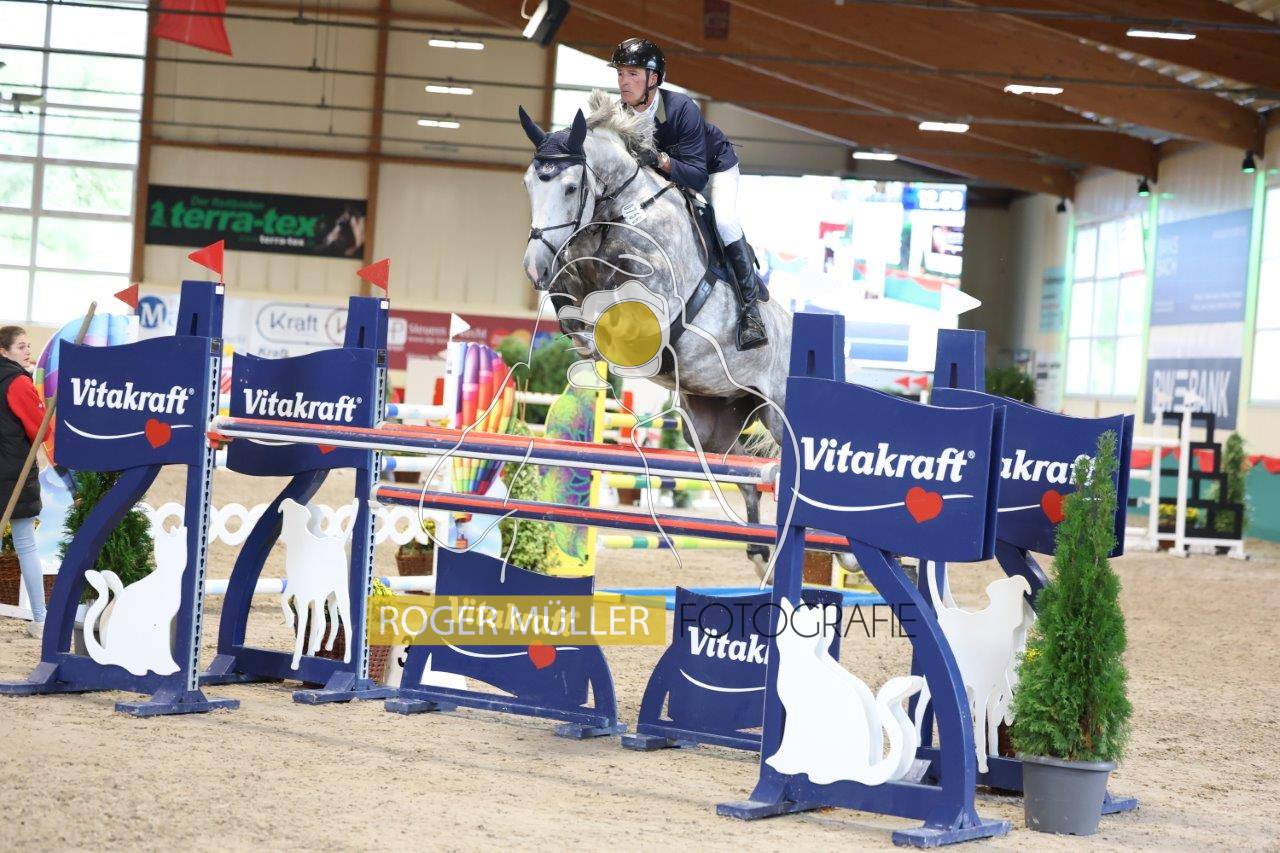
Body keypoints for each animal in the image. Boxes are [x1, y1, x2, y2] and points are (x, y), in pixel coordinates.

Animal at [518, 91, 793, 575]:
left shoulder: (655, 301)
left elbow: (615, 313)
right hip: (712, 422)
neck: (622, 212)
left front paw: (593, 342)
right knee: (741, 472)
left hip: (777, 413)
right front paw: (580, 340)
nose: (533, 268)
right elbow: (570, 296)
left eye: (569, 187)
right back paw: (760, 556)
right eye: (529, 183)